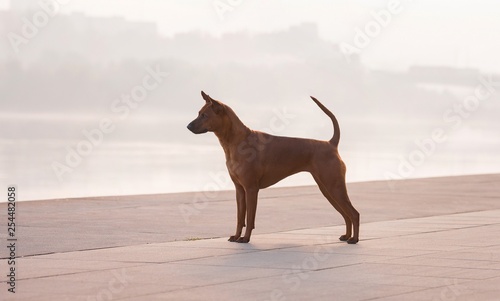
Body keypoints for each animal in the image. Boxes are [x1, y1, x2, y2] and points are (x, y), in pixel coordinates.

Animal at [188, 91, 360, 244]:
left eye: (204, 115)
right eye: (199, 113)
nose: (188, 126)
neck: (237, 142)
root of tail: (331, 143)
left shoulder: (251, 189)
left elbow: (249, 218)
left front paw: (245, 238)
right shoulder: (239, 190)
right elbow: (239, 218)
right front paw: (236, 237)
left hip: (334, 187)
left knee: (354, 214)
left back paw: (354, 239)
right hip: (327, 190)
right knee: (346, 215)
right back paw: (347, 236)